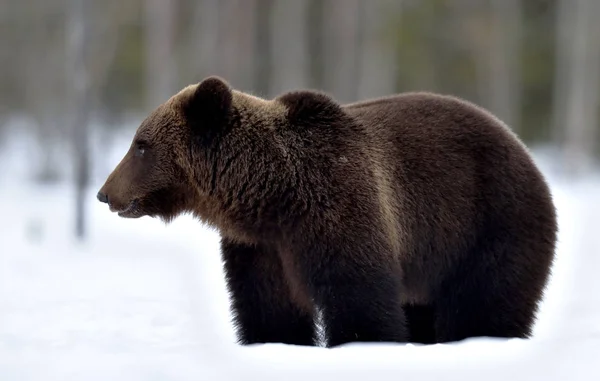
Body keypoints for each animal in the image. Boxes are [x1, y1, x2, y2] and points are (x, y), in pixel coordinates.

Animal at [97, 75, 556, 346]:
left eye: (140, 145)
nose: (104, 193)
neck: (272, 195)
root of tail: (524, 149)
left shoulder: (339, 206)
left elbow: (358, 296)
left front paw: (362, 342)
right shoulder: (261, 248)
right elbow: (268, 308)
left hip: (491, 222)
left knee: (485, 304)